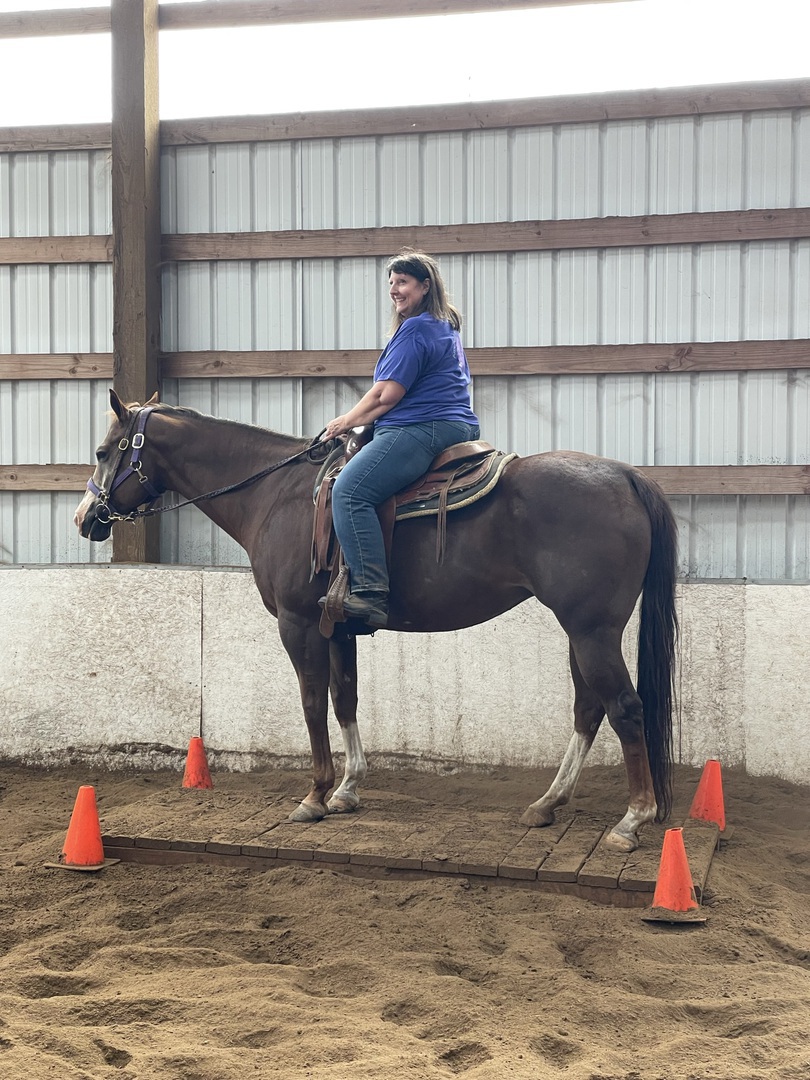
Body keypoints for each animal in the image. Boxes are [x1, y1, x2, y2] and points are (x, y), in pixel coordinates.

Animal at [74, 389, 678, 853]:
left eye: (104, 450)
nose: (85, 519)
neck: (276, 495)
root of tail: (627, 477)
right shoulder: (337, 627)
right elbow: (345, 698)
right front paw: (347, 789)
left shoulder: (297, 624)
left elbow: (312, 703)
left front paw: (315, 795)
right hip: (582, 631)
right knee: (589, 707)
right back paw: (548, 803)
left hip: (592, 629)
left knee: (624, 708)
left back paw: (631, 821)